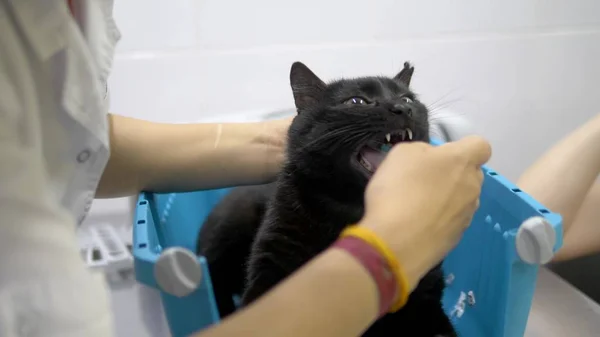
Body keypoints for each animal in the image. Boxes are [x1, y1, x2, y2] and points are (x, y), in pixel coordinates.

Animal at [197, 61, 454, 336]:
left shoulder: (428, 300)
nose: (403, 108)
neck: (353, 209)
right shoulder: (271, 265)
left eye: (407, 98)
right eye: (357, 101)